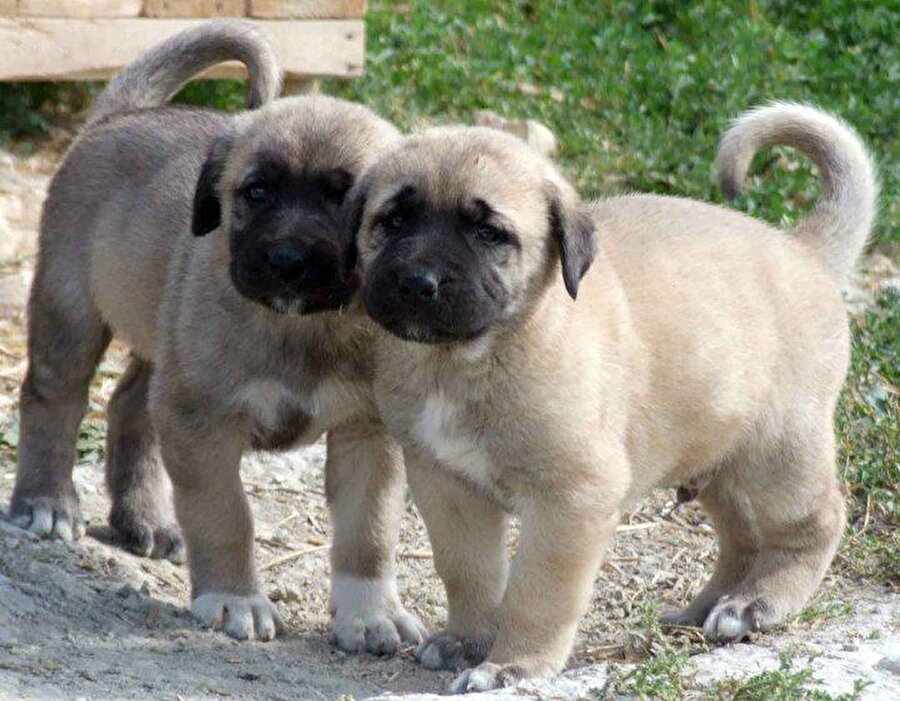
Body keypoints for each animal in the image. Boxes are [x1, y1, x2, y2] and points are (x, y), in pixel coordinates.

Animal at [8, 23, 426, 656]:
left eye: (347, 200)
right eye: (255, 192)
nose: (286, 262)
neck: (302, 326)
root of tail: (121, 114)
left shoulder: (368, 433)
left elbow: (369, 531)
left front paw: (370, 613)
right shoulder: (202, 420)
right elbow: (225, 514)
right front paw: (234, 598)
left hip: (164, 339)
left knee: (130, 405)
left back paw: (145, 518)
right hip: (71, 307)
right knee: (53, 399)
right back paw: (46, 504)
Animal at [342, 104, 876, 688]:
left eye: (489, 233)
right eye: (393, 220)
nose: (418, 283)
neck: (467, 361)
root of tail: (805, 251)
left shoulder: (572, 499)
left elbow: (538, 593)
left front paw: (513, 665)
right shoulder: (447, 485)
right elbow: (469, 573)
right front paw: (468, 642)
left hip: (778, 450)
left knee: (815, 522)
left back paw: (758, 603)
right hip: (719, 454)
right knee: (744, 538)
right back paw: (706, 609)